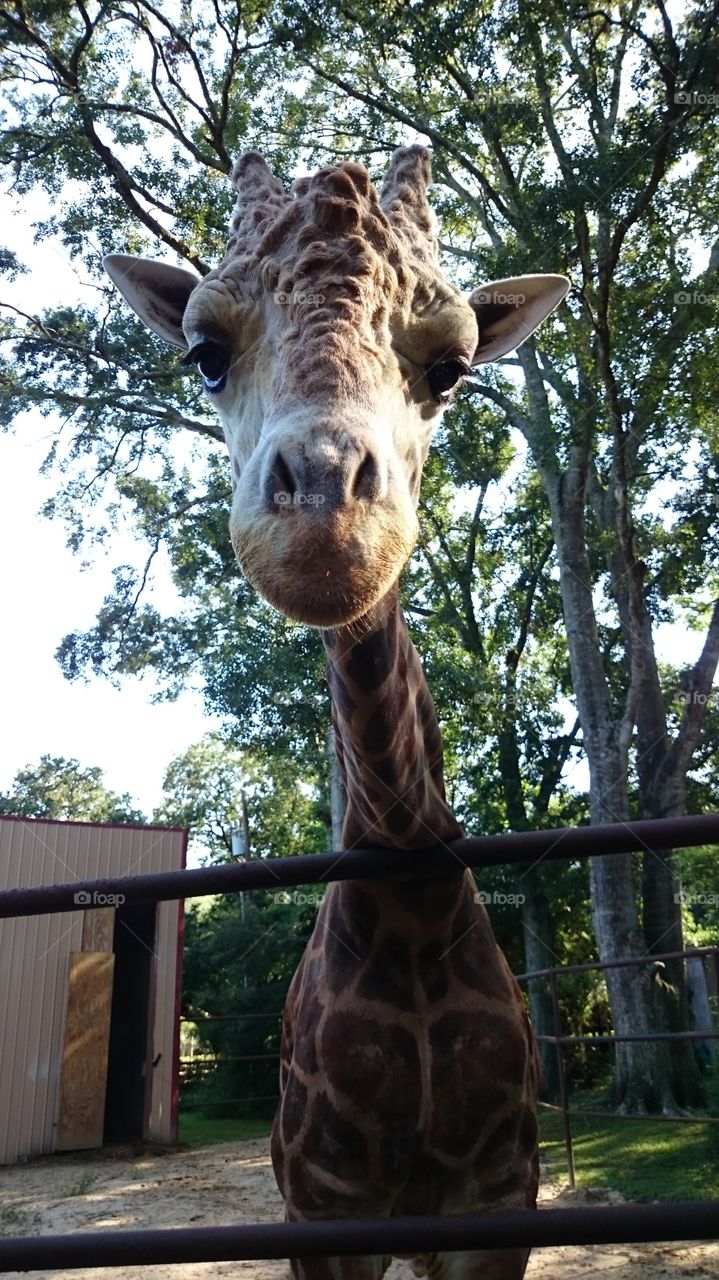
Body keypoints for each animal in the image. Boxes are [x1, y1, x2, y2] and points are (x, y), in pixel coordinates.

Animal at [104, 145, 568, 1280]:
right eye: (203, 355)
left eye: (451, 368)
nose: (325, 525)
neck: (406, 904)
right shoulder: (322, 1207)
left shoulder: (498, 1202)